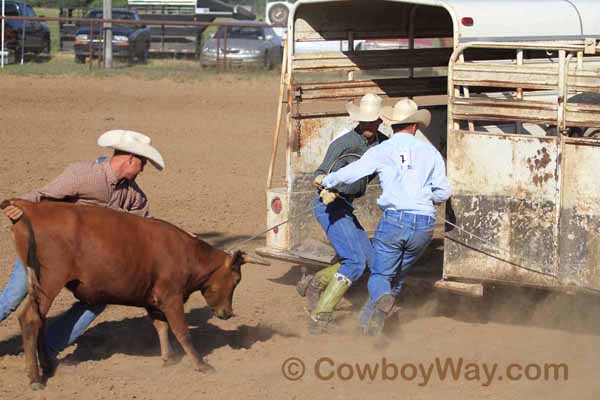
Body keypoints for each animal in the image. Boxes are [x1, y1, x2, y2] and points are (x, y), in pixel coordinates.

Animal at [0, 200, 268, 390]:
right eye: (236, 280)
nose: (227, 313)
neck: (186, 254)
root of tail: (30, 207)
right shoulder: (171, 297)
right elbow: (181, 331)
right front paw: (201, 364)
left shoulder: (154, 299)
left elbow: (161, 327)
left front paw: (168, 359)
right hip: (49, 282)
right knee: (30, 319)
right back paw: (35, 377)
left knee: (39, 321)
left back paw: (47, 365)